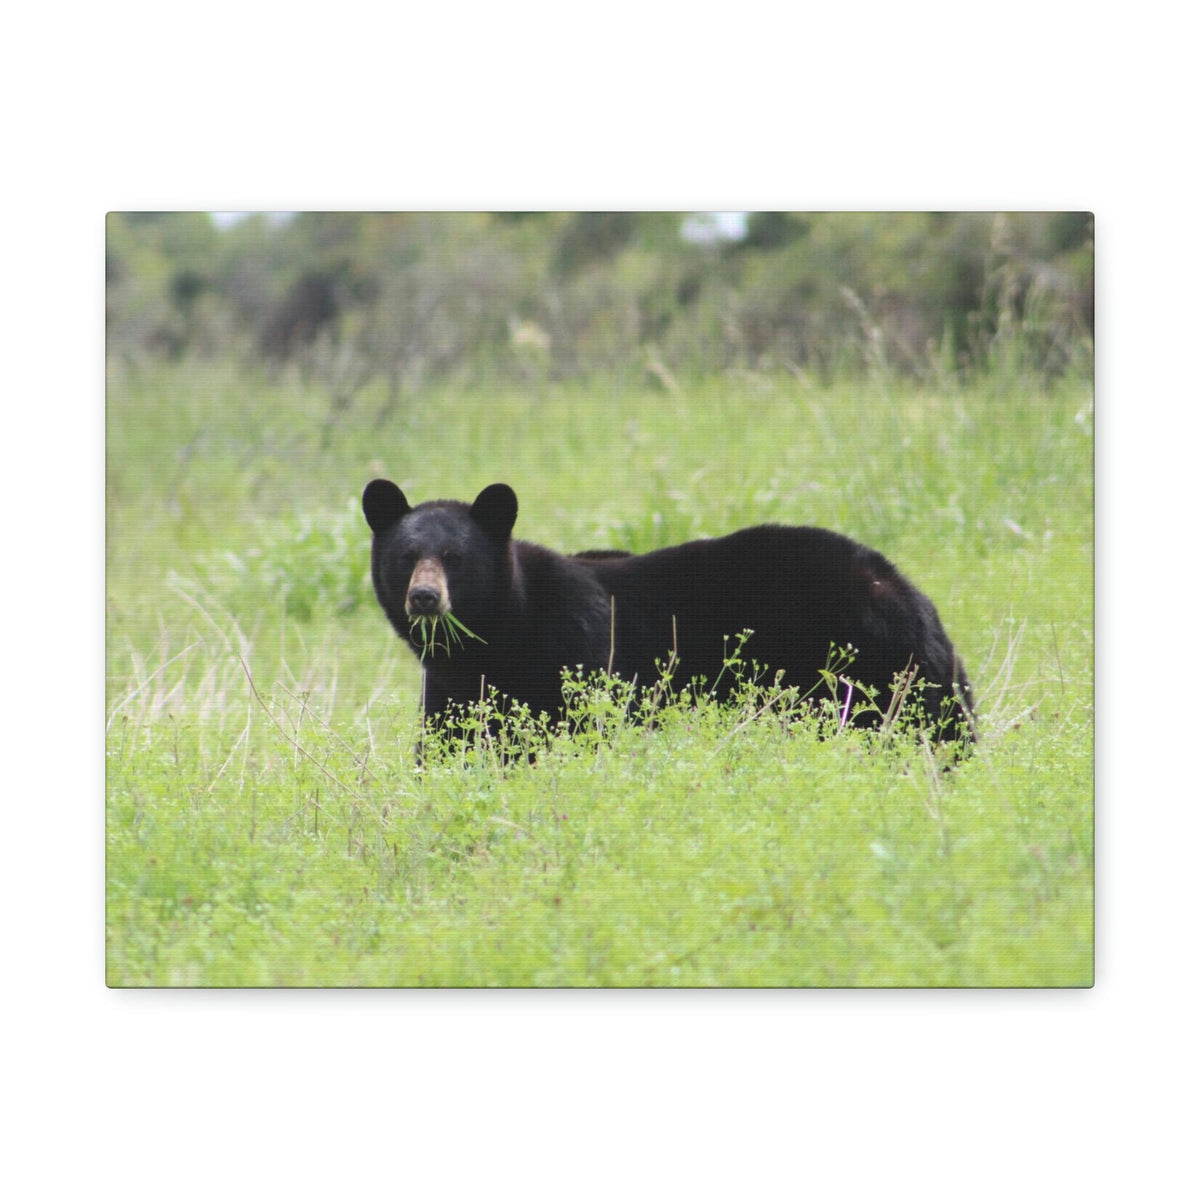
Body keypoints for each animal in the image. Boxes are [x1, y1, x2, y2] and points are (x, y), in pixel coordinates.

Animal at [362, 479, 975, 745]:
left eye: (456, 558)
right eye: (407, 556)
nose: (425, 597)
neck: (503, 635)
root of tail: (911, 594)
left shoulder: (577, 650)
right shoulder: (452, 684)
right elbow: (451, 743)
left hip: (865, 666)